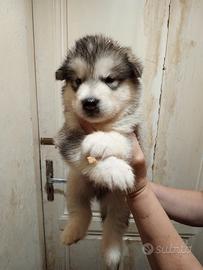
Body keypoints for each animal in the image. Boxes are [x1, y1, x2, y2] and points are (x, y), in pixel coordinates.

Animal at [55, 34, 143, 266]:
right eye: (77, 82)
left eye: (109, 79)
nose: (89, 102)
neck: (100, 124)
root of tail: (99, 193)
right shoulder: (65, 136)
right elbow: (79, 150)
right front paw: (115, 169)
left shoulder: (135, 136)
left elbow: (120, 138)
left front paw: (99, 141)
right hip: (75, 184)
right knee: (81, 211)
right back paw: (72, 232)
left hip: (121, 201)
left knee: (114, 224)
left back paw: (112, 254)